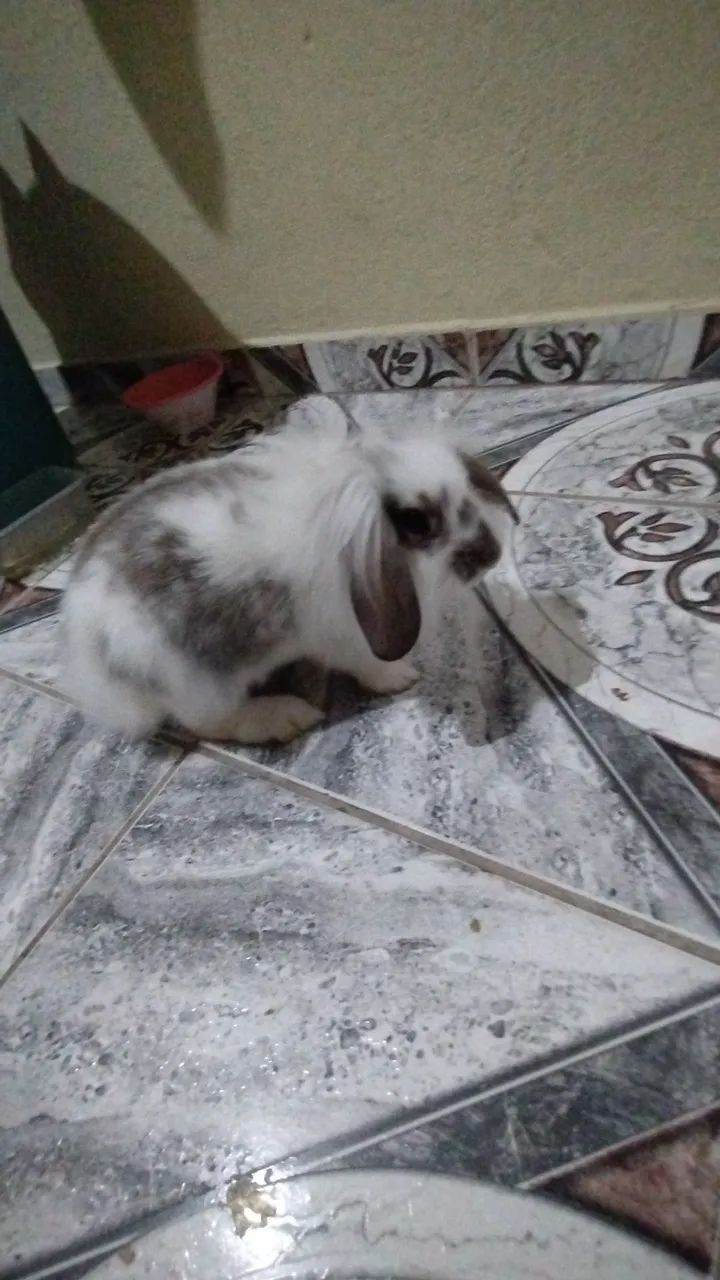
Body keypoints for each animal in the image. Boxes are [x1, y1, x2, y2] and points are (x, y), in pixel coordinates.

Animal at [62, 399, 518, 744]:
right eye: (417, 523)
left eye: (467, 488)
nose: (491, 555)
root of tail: (87, 651)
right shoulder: (343, 634)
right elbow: (366, 664)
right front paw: (401, 676)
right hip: (198, 683)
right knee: (210, 724)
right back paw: (285, 717)